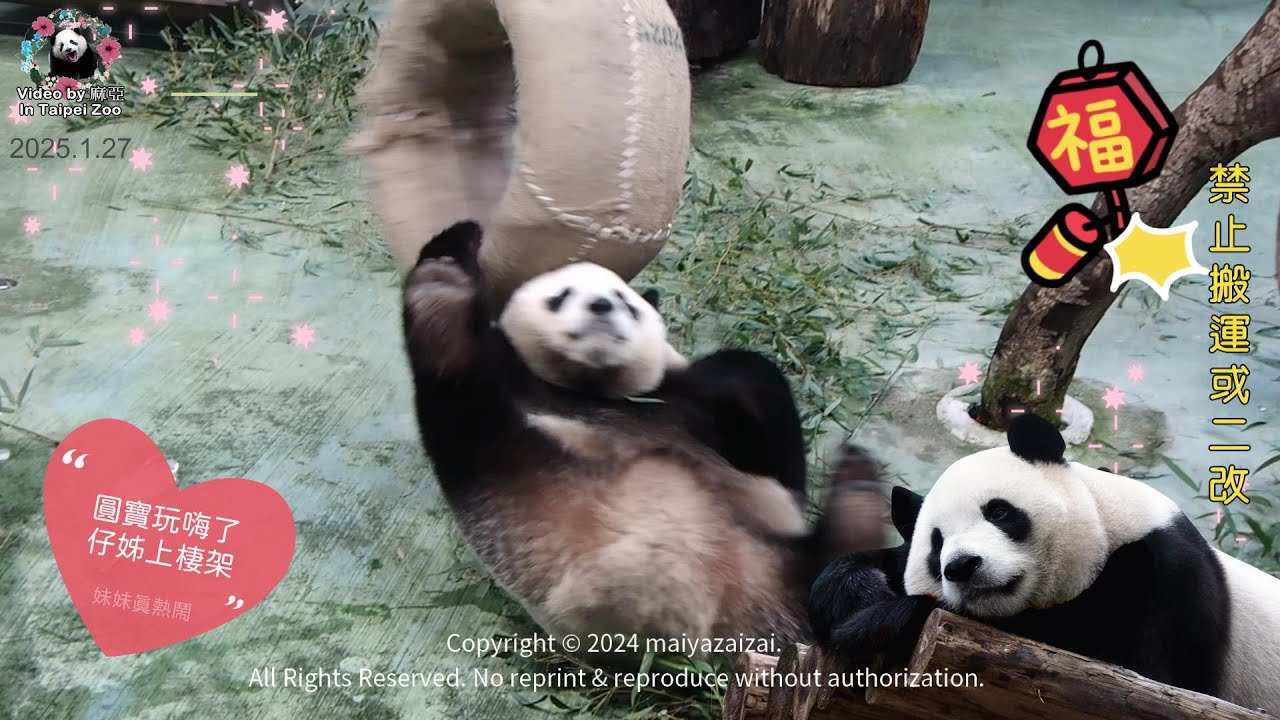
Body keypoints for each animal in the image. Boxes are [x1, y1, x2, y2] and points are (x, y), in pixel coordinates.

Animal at [402, 220, 888, 661]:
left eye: (625, 300)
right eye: (561, 296)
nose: (600, 306)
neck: (590, 386)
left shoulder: (687, 408)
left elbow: (756, 403)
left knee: (827, 579)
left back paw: (857, 494)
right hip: (515, 496)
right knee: (462, 408)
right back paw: (441, 296)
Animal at [807, 412, 1280, 715]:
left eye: (999, 512)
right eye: (936, 544)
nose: (961, 566)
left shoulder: (1169, 578)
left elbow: (1131, 668)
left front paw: (882, 622)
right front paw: (860, 592)